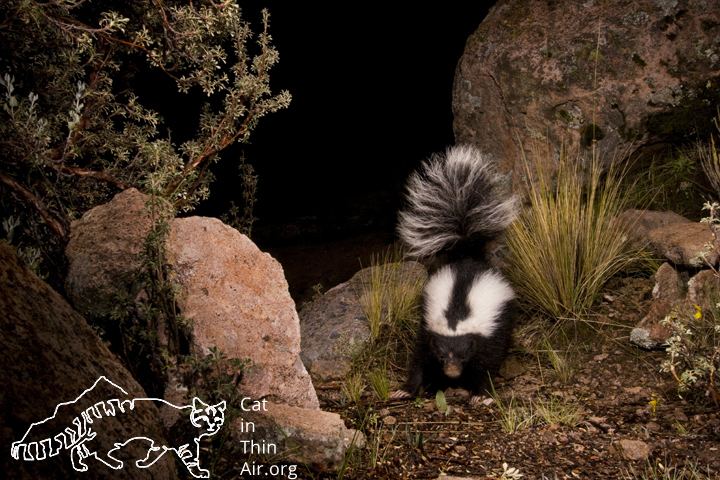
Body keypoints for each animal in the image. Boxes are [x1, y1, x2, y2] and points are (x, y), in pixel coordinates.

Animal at [394, 144, 516, 404]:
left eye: (462, 356)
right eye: (442, 356)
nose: (451, 373)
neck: (455, 320)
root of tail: (468, 256)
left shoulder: (488, 336)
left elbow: (486, 364)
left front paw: (482, 394)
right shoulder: (428, 333)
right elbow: (419, 361)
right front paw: (407, 389)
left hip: (507, 316)